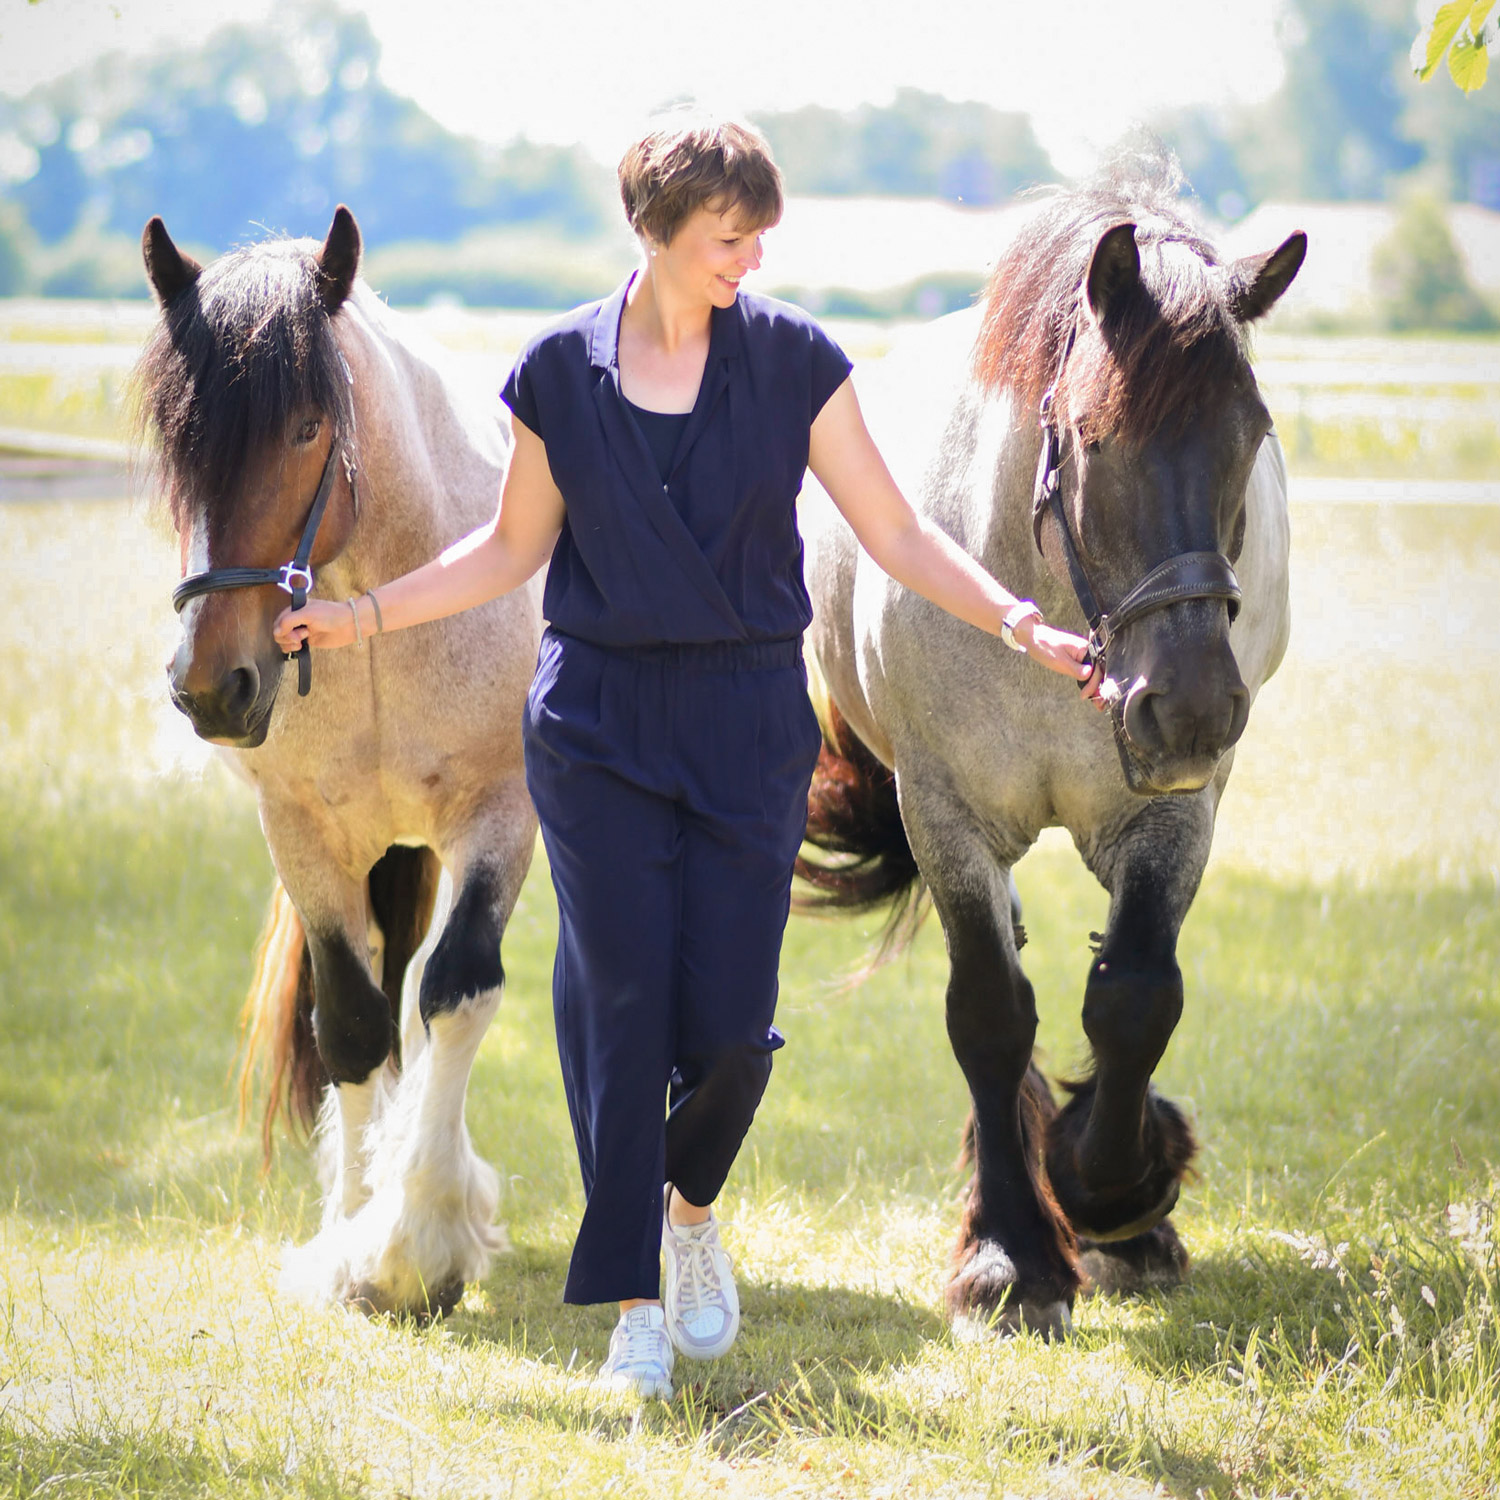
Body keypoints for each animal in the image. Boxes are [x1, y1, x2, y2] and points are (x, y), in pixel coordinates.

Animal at [136, 208, 546, 1314]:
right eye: (177, 436)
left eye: (308, 428)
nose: (212, 684)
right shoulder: (305, 835)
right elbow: (355, 1022)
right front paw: (357, 1242)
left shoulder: (500, 814)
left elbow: (457, 989)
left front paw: (418, 1240)